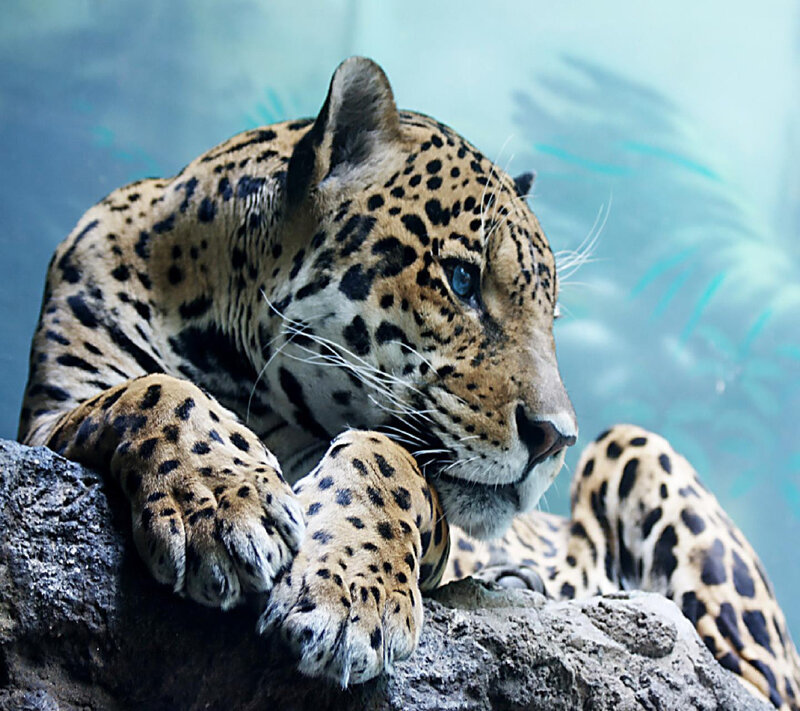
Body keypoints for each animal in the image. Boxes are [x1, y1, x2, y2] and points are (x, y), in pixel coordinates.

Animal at [18, 56, 799, 708]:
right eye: (461, 280)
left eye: (549, 315)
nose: (555, 439)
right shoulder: (53, 413)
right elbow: (154, 391)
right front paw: (217, 500)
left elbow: (390, 457)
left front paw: (347, 597)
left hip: (635, 448)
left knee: (746, 678)